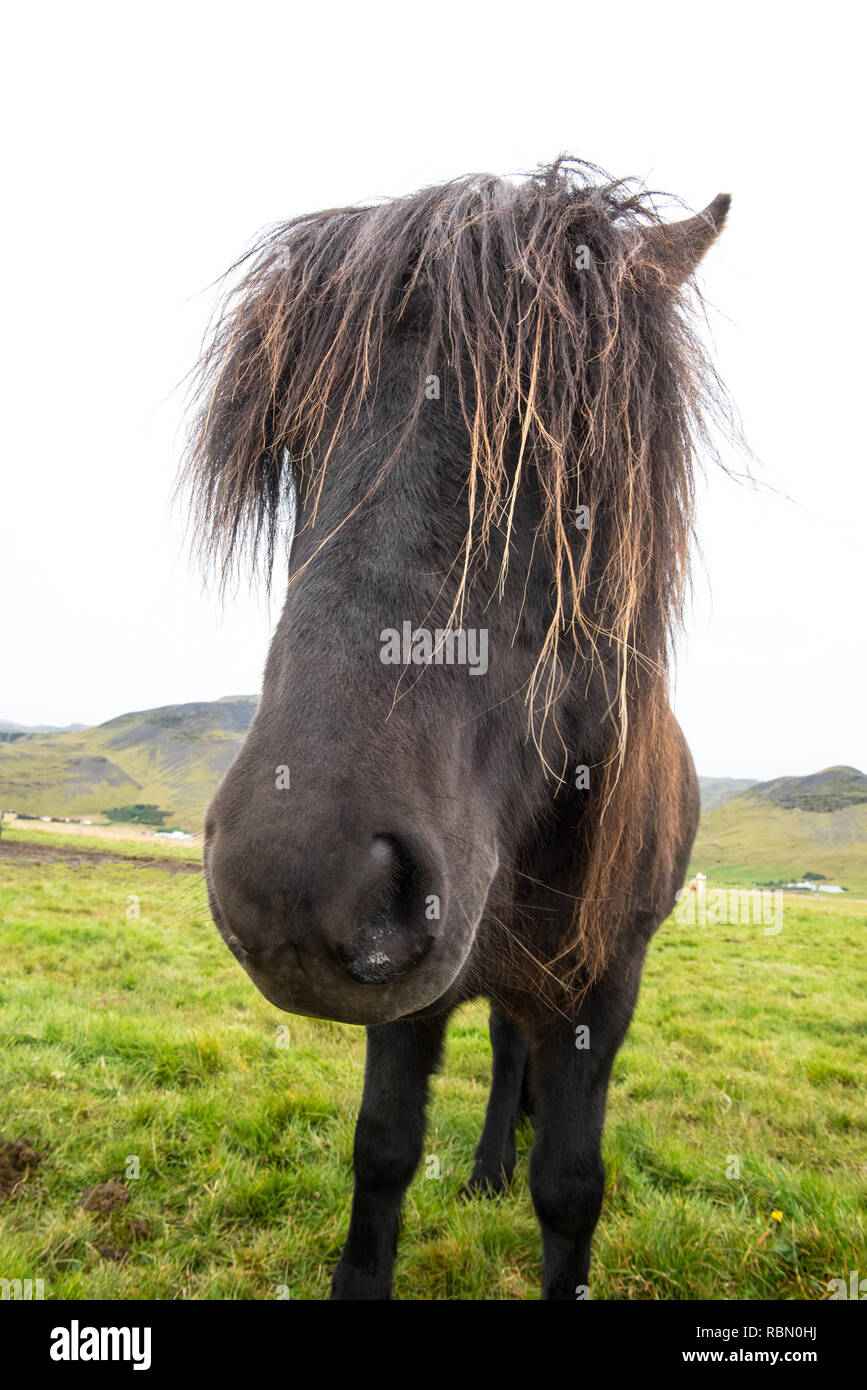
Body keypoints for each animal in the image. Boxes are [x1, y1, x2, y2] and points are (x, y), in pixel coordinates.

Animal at [183, 158, 731, 1299]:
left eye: (575, 462)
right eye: (297, 448)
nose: (292, 883)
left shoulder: (603, 990)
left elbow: (570, 1187)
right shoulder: (410, 1007)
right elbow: (383, 1151)